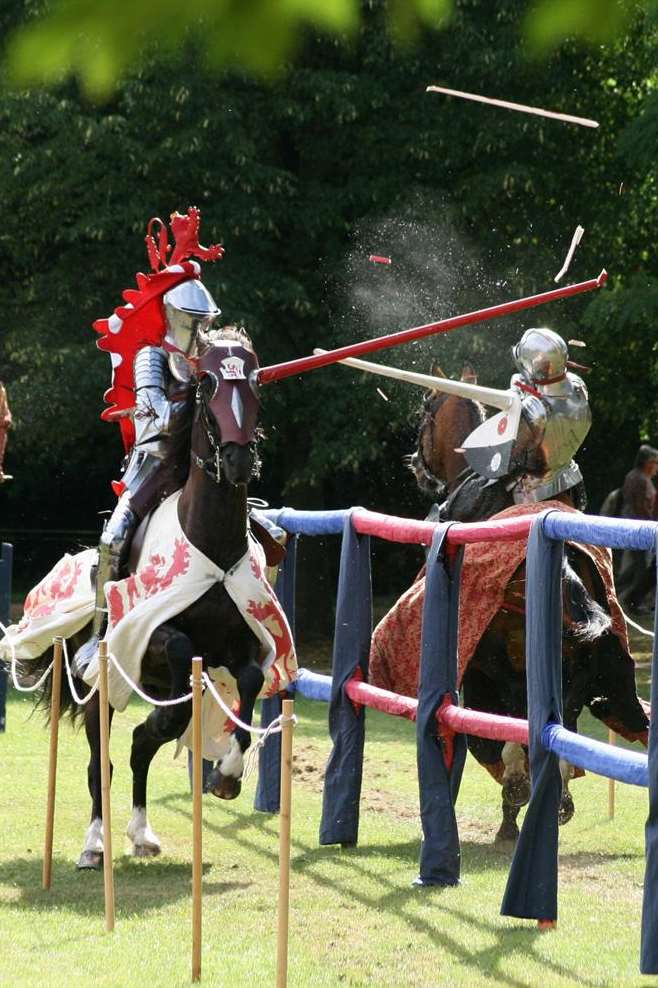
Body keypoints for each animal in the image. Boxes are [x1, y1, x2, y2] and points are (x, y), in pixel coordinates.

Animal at [34, 330, 268, 864]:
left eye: (256, 379)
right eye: (206, 383)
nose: (238, 459)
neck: (212, 540)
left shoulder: (237, 647)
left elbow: (249, 681)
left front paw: (227, 775)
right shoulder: (152, 638)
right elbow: (179, 646)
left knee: (140, 746)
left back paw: (141, 833)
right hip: (101, 684)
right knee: (102, 763)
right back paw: (94, 845)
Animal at [398, 368, 648, 840]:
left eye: (425, 413)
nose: (416, 466)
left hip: (498, 663)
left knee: (513, 728)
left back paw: (515, 803)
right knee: (560, 722)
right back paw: (555, 801)